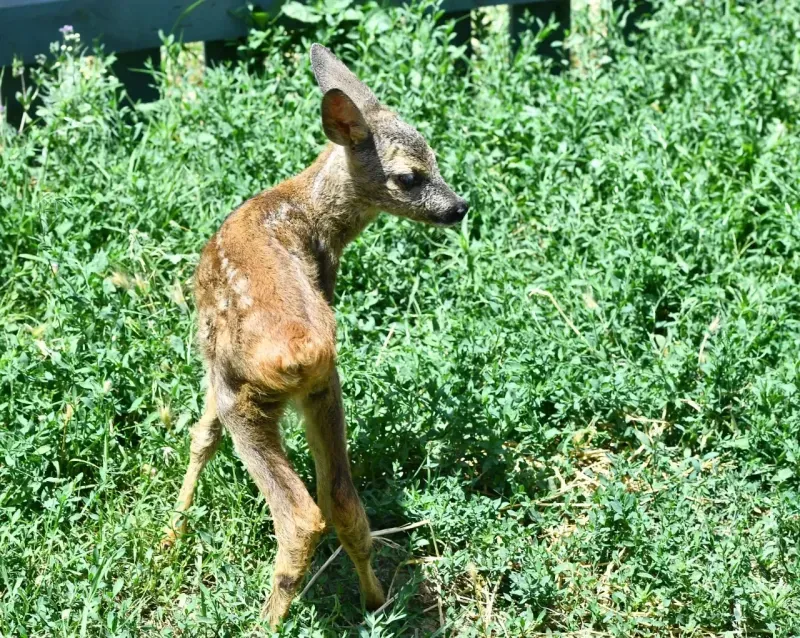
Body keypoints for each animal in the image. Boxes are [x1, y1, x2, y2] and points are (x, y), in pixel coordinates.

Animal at [164, 42, 468, 628]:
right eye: (413, 175)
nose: (459, 206)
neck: (302, 209)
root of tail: (299, 352)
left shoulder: (213, 363)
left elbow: (201, 435)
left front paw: (174, 529)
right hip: (327, 388)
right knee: (343, 500)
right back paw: (375, 602)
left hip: (247, 402)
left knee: (302, 515)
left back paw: (264, 621)